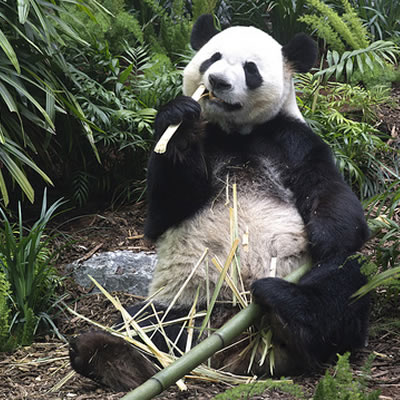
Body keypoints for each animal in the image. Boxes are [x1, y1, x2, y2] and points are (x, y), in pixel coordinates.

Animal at [69, 14, 372, 390]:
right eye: (212, 58)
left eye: (250, 69)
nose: (217, 81)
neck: (235, 132)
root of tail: (234, 346)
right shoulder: (206, 140)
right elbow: (164, 210)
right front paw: (179, 123)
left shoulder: (291, 139)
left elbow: (328, 191)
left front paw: (328, 235)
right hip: (184, 302)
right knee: (148, 324)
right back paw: (108, 355)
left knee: (344, 281)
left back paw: (289, 314)